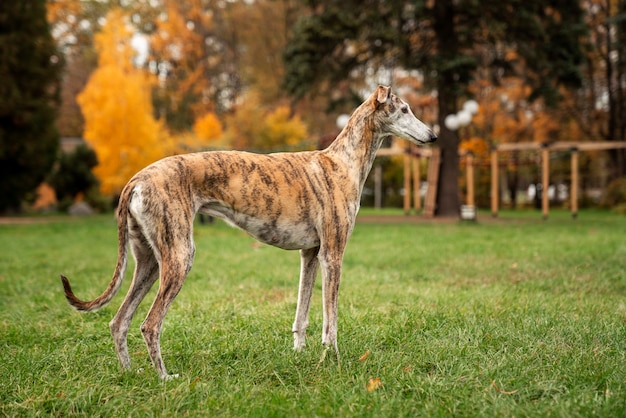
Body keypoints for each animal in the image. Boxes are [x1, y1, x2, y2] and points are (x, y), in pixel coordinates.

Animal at [61, 85, 436, 378]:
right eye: (404, 109)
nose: (433, 136)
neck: (341, 162)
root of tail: (136, 179)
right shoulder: (334, 254)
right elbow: (331, 321)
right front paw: (333, 359)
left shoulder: (311, 255)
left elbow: (302, 313)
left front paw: (299, 354)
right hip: (180, 256)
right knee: (149, 324)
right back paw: (164, 378)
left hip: (150, 261)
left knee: (119, 321)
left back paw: (130, 374)